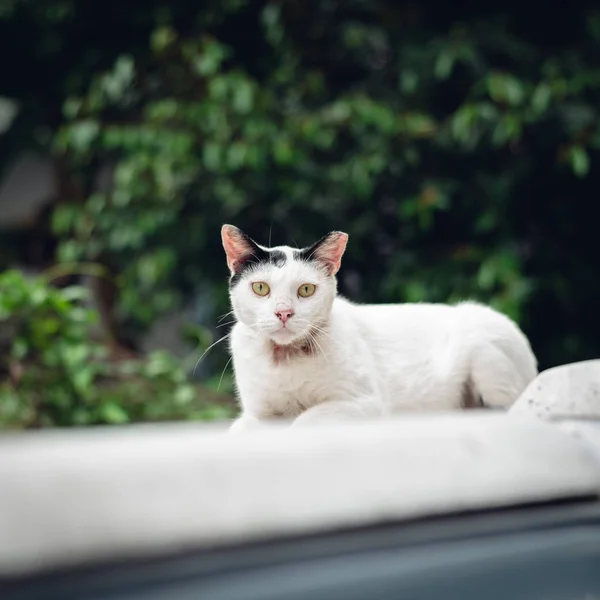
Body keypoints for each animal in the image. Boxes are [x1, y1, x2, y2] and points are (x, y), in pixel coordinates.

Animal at [221, 225, 540, 432]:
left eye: (306, 290)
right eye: (261, 288)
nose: (284, 312)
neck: (286, 360)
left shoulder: (365, 404)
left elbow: (303, 421)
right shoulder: (256, 413)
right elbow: (239, 429)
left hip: (486, 352)